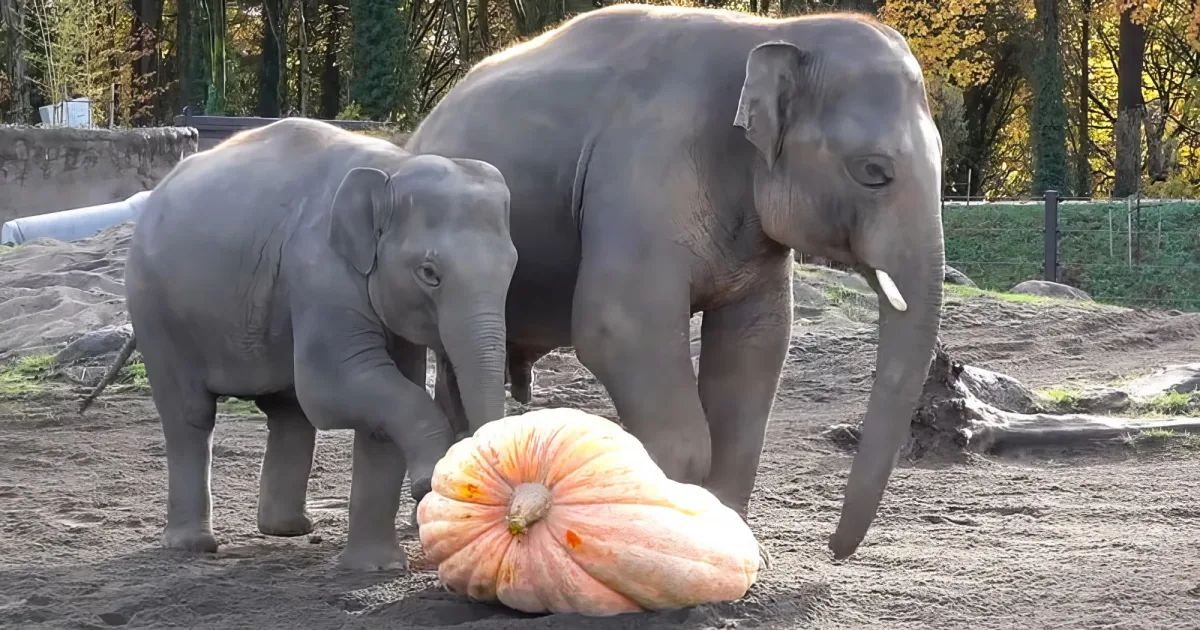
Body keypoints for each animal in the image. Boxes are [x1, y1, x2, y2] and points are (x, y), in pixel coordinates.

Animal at [78, 117, 518, 571]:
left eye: (513, 266)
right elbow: (333, 387)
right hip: (156, 311)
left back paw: (287, 528)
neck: (391, 168)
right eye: (429, 273)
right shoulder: (320, 273)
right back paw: (193, 545)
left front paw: (376, 568)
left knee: (287, 411)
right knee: (190, 415)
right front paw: (428, 479)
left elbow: (385, 397)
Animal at [406, 4, 945, 560]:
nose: (833, 549)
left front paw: (745, 553)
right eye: (873, 171)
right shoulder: (640, 175)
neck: (773, 34)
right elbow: (617, 330)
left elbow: (758, 342)